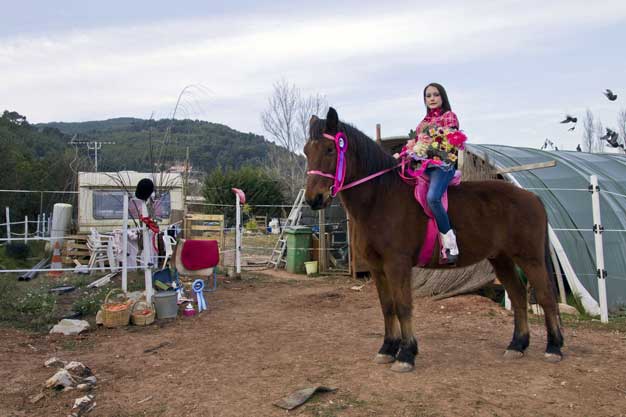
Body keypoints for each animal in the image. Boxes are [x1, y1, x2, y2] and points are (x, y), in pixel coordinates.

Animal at [304, 107, 564, 370]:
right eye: (307, 151)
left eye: (330, 149)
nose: (314, 199)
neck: (381, 198)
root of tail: (531, 197)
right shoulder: (378, 267)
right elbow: (387, 307)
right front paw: (387, 348)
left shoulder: (397, 264)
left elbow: (403, 306)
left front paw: (406, 353)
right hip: (501, 259)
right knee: (519, 295)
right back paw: (517, 345)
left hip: (530, 259)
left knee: (546, 297)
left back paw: (554, 347)